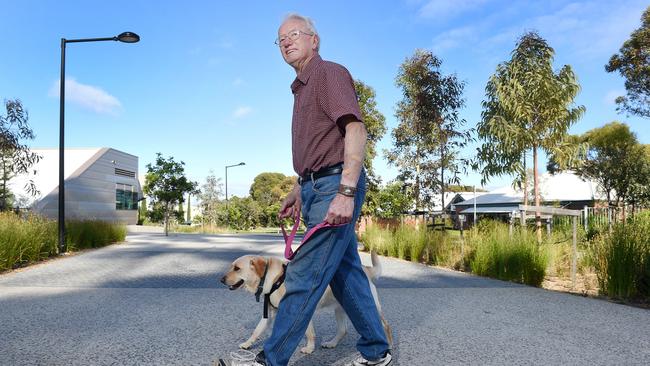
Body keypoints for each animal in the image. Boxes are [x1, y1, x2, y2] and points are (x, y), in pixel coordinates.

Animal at [219, 252, 390, 354]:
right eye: (232, 267)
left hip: (371, 307)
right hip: (340, 309)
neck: (273, 279)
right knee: (343, 330)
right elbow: (257, 331)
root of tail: (364, 269)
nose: (221, 280)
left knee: (385, 325)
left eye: (237, 268)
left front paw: (309, 348)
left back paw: (389, 345)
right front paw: (247, 344)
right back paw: (331, 343)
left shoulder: (300, 310)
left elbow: (309, 333)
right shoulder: (270, 313)